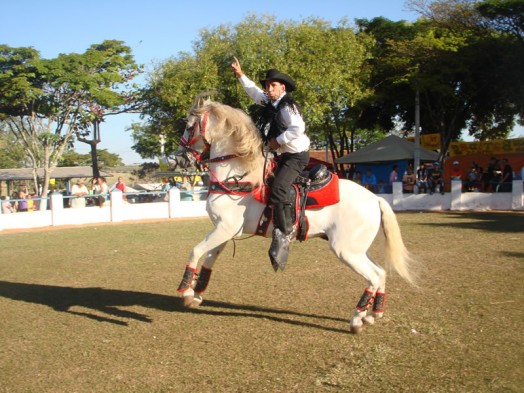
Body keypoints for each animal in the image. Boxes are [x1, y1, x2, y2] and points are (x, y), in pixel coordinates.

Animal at [174, 95, 416, 330]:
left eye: (189, 126)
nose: (178, 159)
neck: (239, 175)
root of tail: (375, 199)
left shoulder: (225, 227)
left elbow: (195, 251)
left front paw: (185, 291)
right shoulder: (226, 230)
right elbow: (209, 258)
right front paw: (196, 294)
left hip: (346, 250)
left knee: (374, 276)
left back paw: (357, 318)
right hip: (358, 249)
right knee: (380, 273)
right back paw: (373, 314)